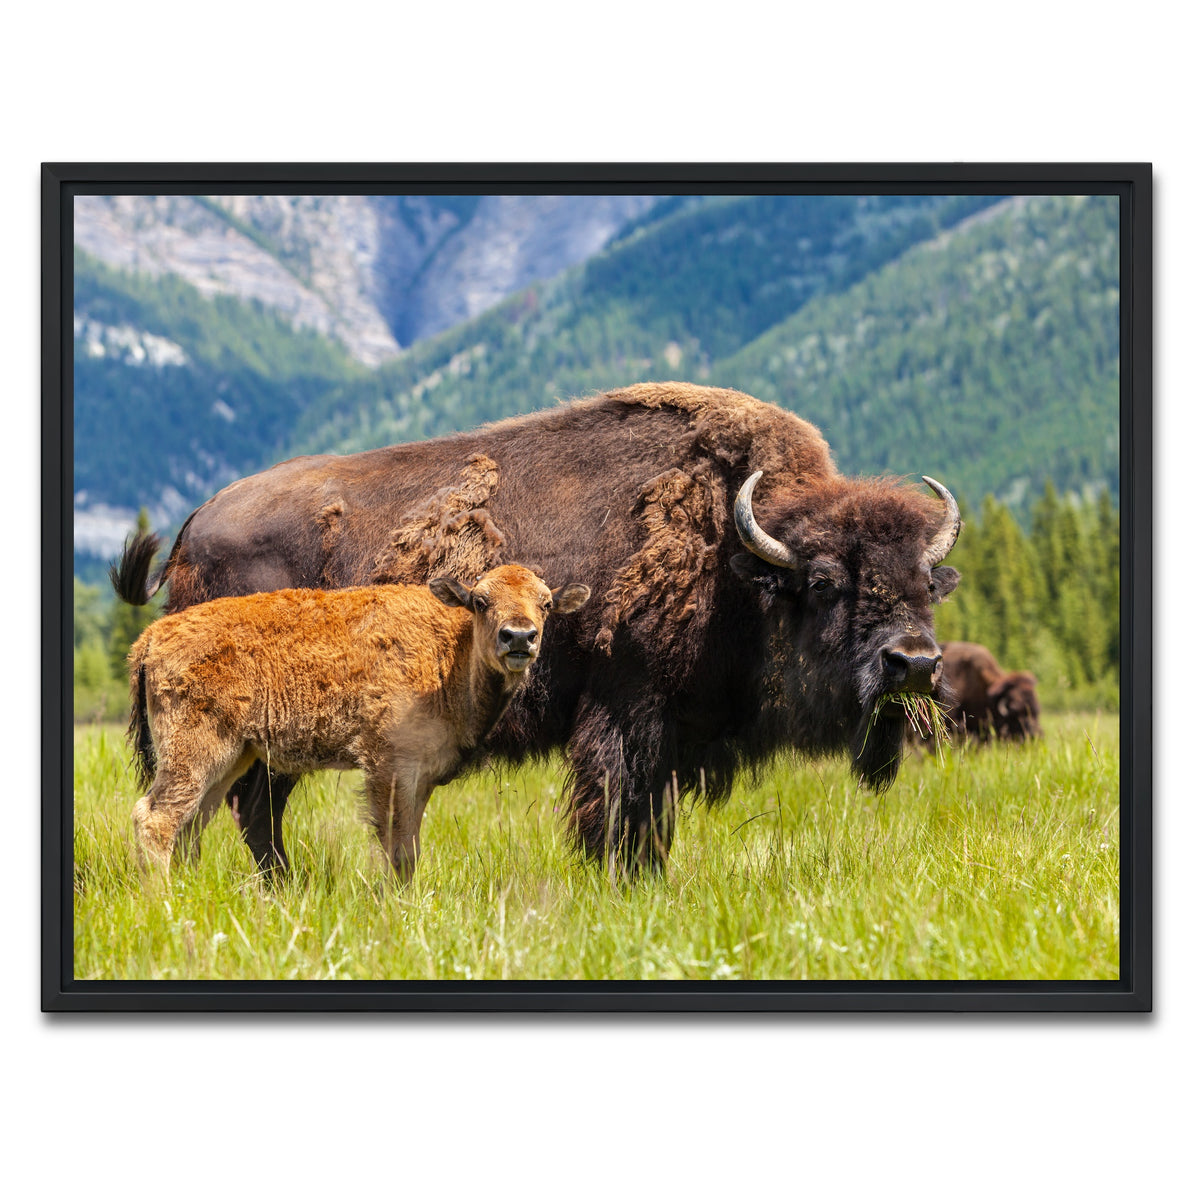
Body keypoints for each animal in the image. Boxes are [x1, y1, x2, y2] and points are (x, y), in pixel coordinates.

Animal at [127, 564, 590, 881]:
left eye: (546, 603)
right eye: (480, 601)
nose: (519, 637)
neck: (450, 652)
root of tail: (152, 636)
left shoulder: (421, 776)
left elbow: (411, 845)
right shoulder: (389, 767)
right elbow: (397, 848)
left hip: (230, 757)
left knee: (192, 823)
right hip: (194, 753)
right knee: (156, 819)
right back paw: (163, 899)